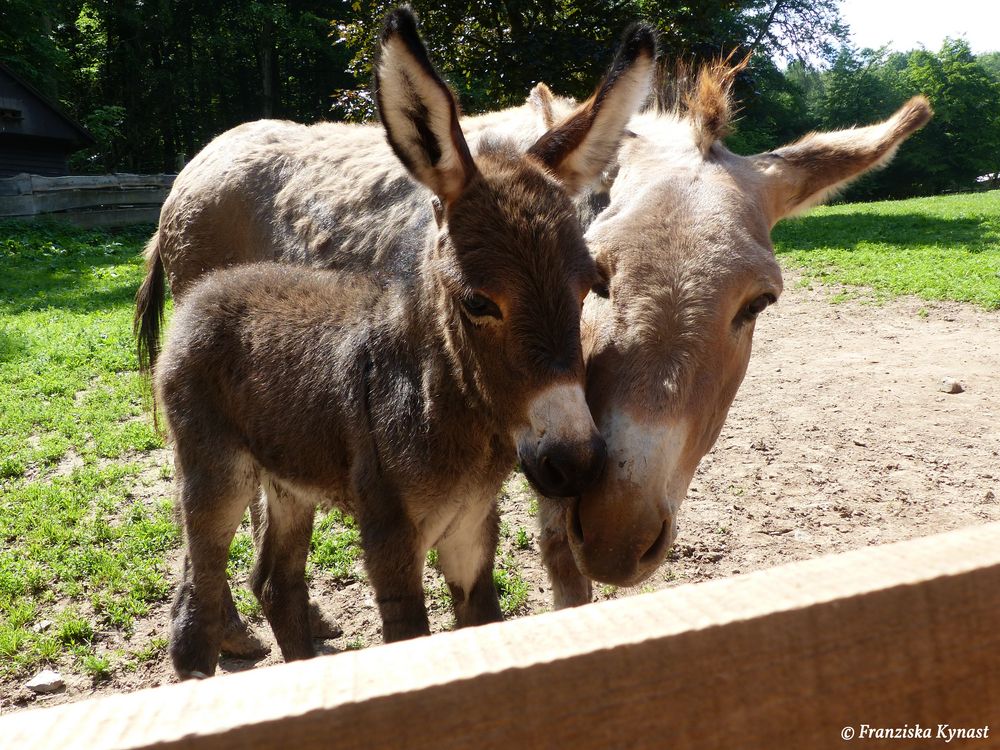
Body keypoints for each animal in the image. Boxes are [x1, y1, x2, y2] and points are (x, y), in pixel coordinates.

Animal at [156, 8, 656, 680]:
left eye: (588, 291)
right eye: (478, 302)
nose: (573, 463)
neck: (443, 407)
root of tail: (207, 289)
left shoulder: (472, 535)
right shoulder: (390, 540)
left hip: (287, 479)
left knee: (277, 582)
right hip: (214, 472)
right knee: (196, 602)